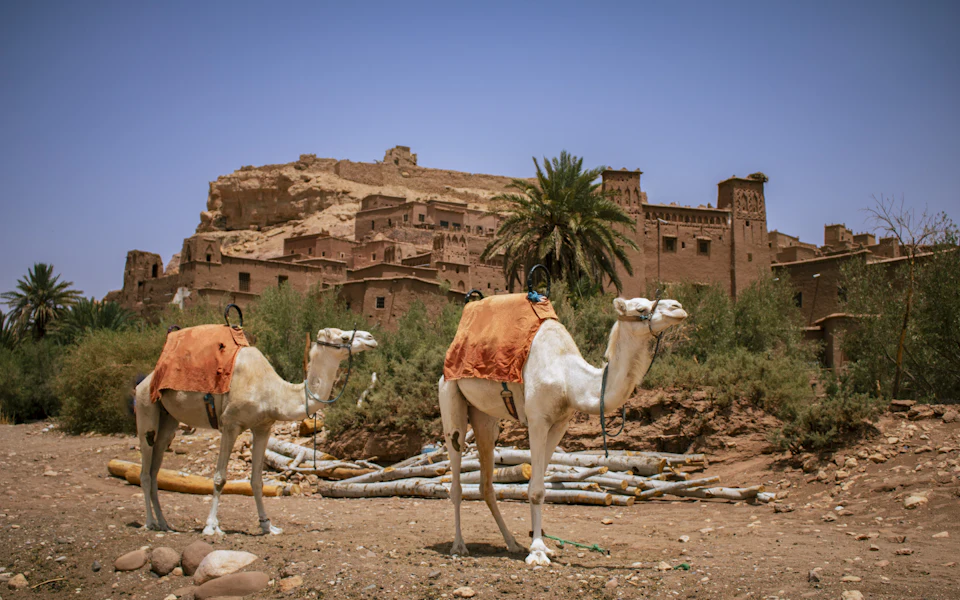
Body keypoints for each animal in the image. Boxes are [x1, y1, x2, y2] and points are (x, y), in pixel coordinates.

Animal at [134, 327, 377, 535]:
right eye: (344, 337)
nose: (371, 338)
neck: (273, 392)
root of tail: (145, 381)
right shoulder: (230, 424)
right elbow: (220, 478)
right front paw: (211, 526)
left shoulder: (263, 427)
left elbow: (257, 481)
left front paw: (268, 526)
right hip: (146, 407)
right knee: (145, 469)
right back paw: (150, 522)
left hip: (169, 419)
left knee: (156, 467)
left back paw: (164, 523)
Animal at [439, 296, 687, 565]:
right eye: (641, 308)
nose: (678, 308)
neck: (569, 379)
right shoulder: (537, 419)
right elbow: (536, 489)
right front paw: (537, 552)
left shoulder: (560, 424)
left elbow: (539, 485)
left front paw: (541, 547)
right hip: (450, 397)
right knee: (455, 472)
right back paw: (459, 546)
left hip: (484, 416)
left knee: (486, 484)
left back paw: (512, 543)